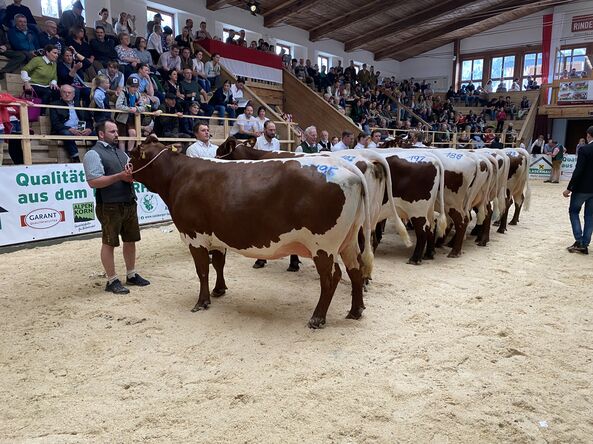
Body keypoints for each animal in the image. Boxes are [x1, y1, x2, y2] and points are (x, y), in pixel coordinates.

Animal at [128, 136, 373, 328]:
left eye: (132, 153)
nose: (125, 168)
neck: (178, 175)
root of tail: (345, 165)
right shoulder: (216, 236)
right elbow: (218, 264)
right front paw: (219, 290)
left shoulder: (194, 235)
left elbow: (202, 270)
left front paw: (202, 301)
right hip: (349, 240)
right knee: (355, 269)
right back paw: (356, 310)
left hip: (323, 245)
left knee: (331, 276)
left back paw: (318, 318)